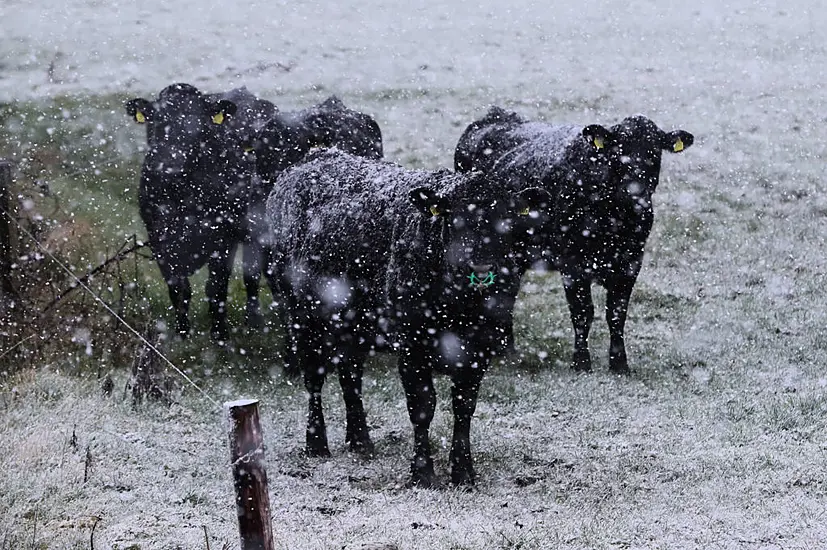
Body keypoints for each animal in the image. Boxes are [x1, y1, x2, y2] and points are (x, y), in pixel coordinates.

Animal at [124, 83, 270, 340]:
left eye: (198, 125)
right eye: (157, 120)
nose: (169, 163)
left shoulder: (223, 237)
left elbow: (216, 287)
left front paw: (220, 334)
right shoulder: (158, 237)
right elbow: (178, 288)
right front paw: (182, 332)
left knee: (251, 275)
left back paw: (254, 321)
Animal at [266, 150, 548, 488]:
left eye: (506, 222)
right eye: (453, 219)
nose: (481, 269)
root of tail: (317, 156)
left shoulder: (480, 346)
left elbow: (464, 406)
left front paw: (463, 471)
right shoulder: (413, 345)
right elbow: (422, 406)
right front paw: (422, 472)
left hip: (351, 324)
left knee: (351, 375)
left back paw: (360, 440)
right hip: (301, 317)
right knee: (314, 377)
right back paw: (316, 443)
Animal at [456, 106, 696, 376]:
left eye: (654, 152)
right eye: (618, 152)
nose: (634, 191)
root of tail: (496, 115)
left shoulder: (631, 262)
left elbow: (617, 314)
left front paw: (619, 363)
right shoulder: (572, 264)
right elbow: (582, 313)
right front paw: (581, 362)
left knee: (505, 295)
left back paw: (506, 350)